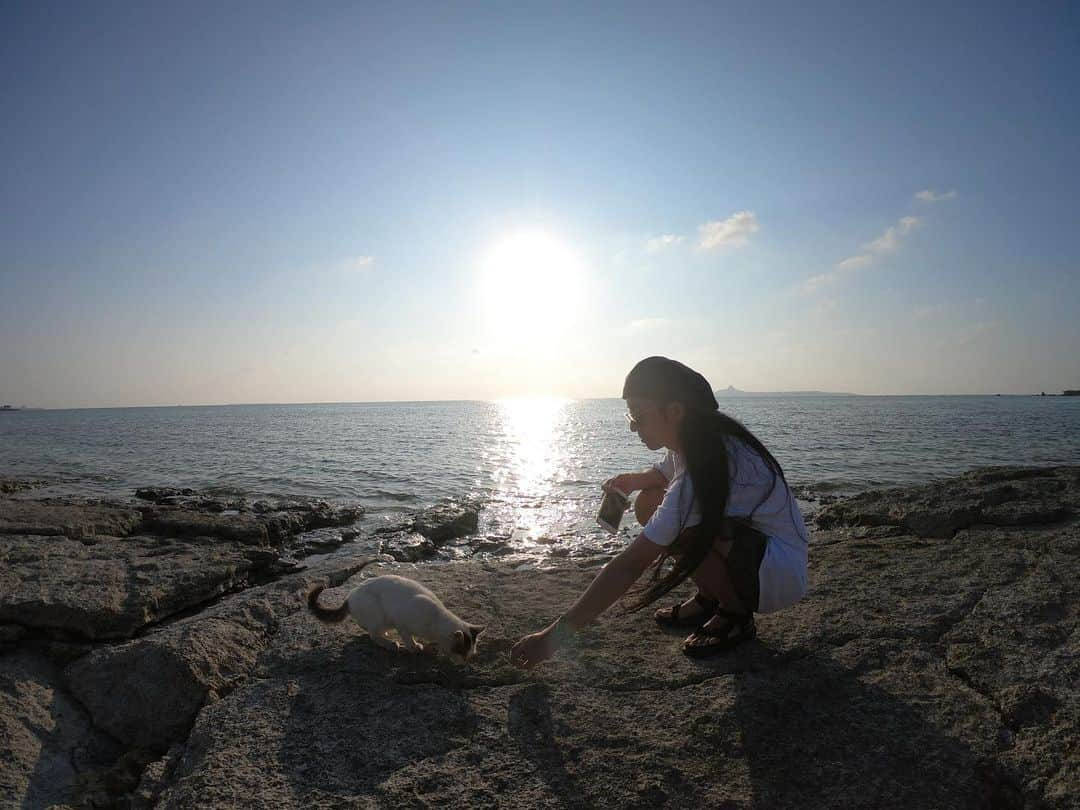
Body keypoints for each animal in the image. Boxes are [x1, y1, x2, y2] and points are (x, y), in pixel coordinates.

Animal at [306, 565, 488, 665]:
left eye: (470, 655)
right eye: (461, 652)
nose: (464, 663)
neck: (436, 620)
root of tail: (349, 596)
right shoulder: (402, 623)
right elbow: (408, 639)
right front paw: (414, 647)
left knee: (369, 630)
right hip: (378, 614)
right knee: (373, 636)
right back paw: (391, 644)